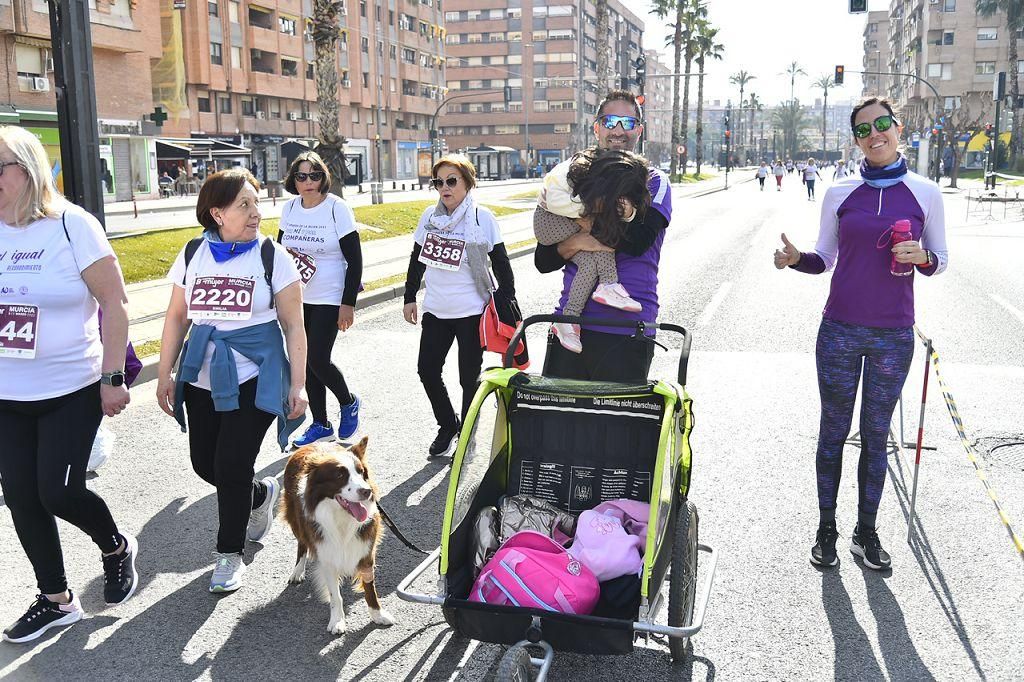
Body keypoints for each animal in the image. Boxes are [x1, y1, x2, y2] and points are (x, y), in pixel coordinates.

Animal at [280, 436, 395, 630]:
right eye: (340, 475)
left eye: (361, 472)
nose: (367, 491)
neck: (342, 518)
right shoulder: (326, 554)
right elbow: (335, 595)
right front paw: (337, 621)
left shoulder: (366, 549)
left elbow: (370, 589)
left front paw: (378, 615)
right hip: (295, 519)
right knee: (302, 543)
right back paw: (297, 571)